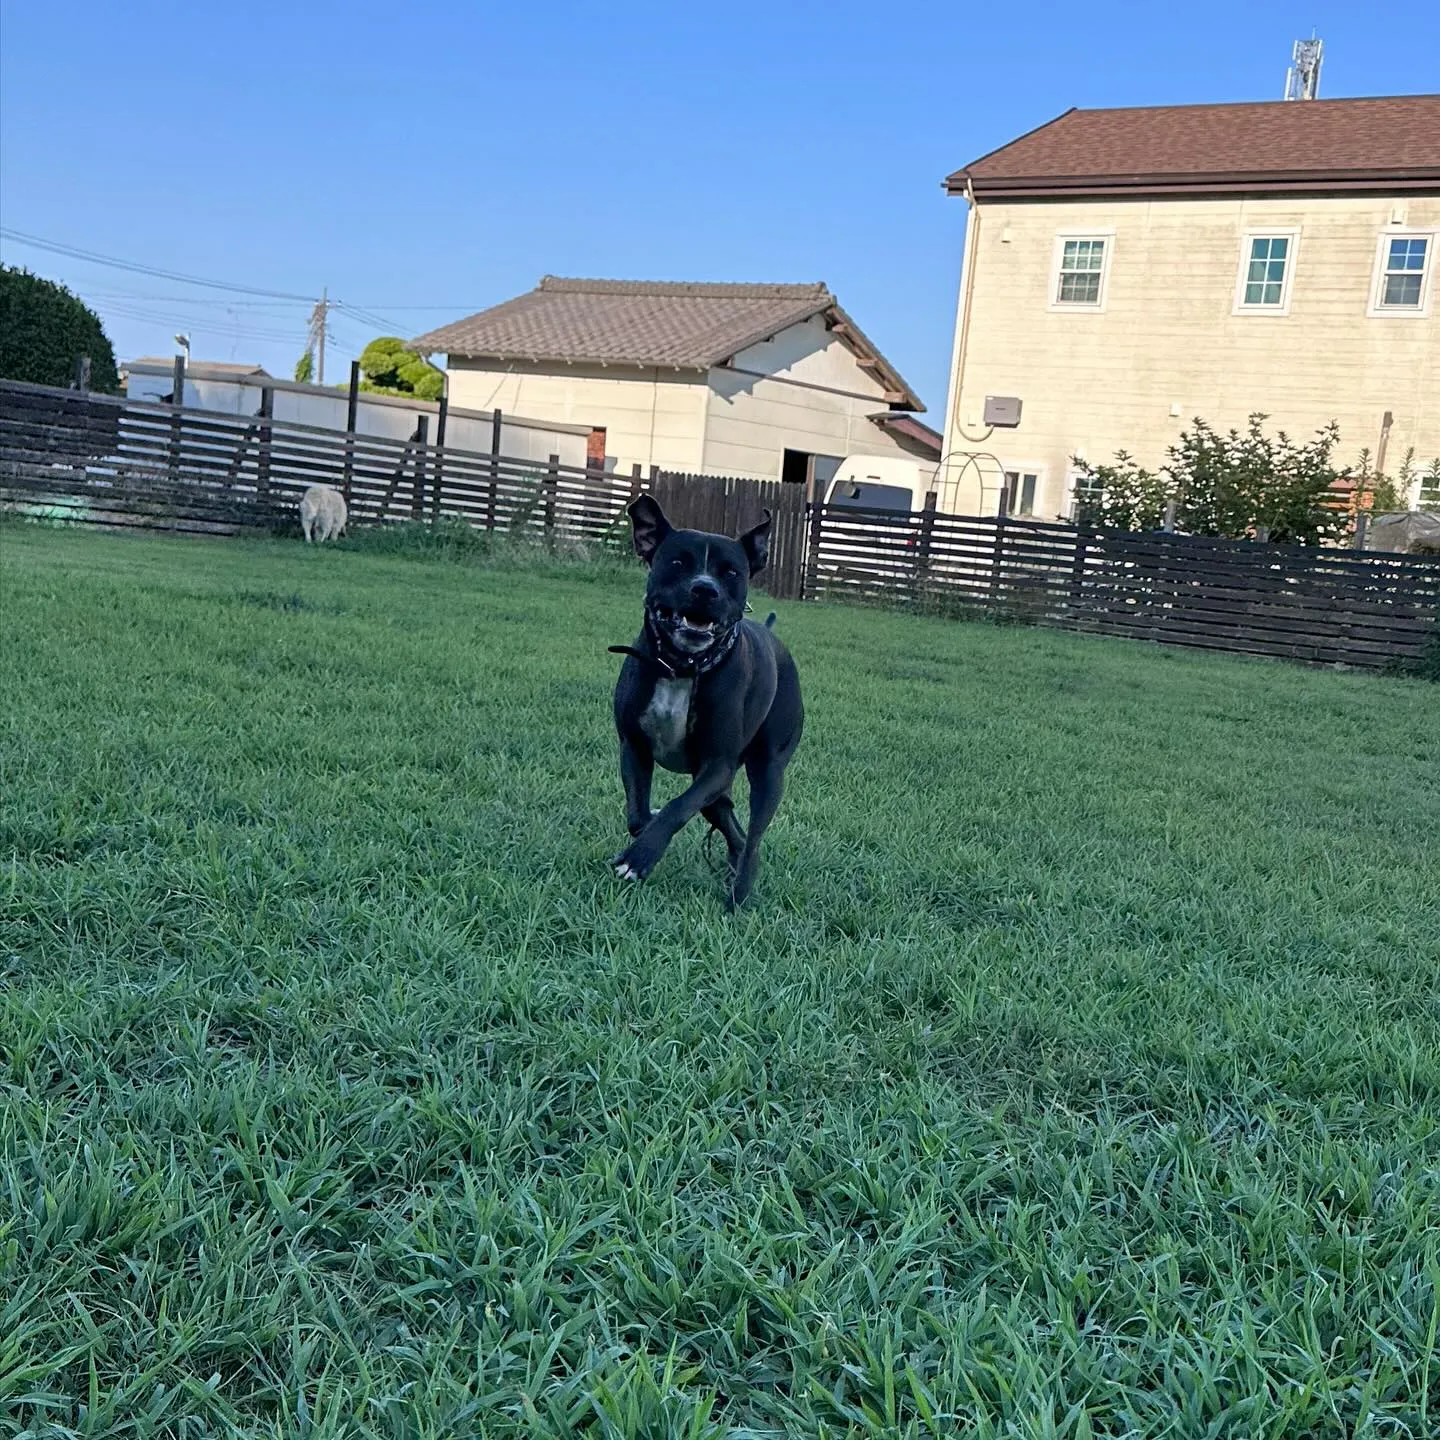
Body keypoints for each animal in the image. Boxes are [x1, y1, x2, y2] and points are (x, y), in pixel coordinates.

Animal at [610, 495, 806, 898]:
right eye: (677, 562)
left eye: (731, 573)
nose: (705, 589)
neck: (682, 668)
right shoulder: (634, 746)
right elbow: (639, 815)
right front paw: (644, 834)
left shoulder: (717, 765)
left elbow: (675, 808)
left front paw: (639, 858)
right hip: (719, 788)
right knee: (731, 824)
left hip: (768, 770)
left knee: (754, 836)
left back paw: (740, 893)